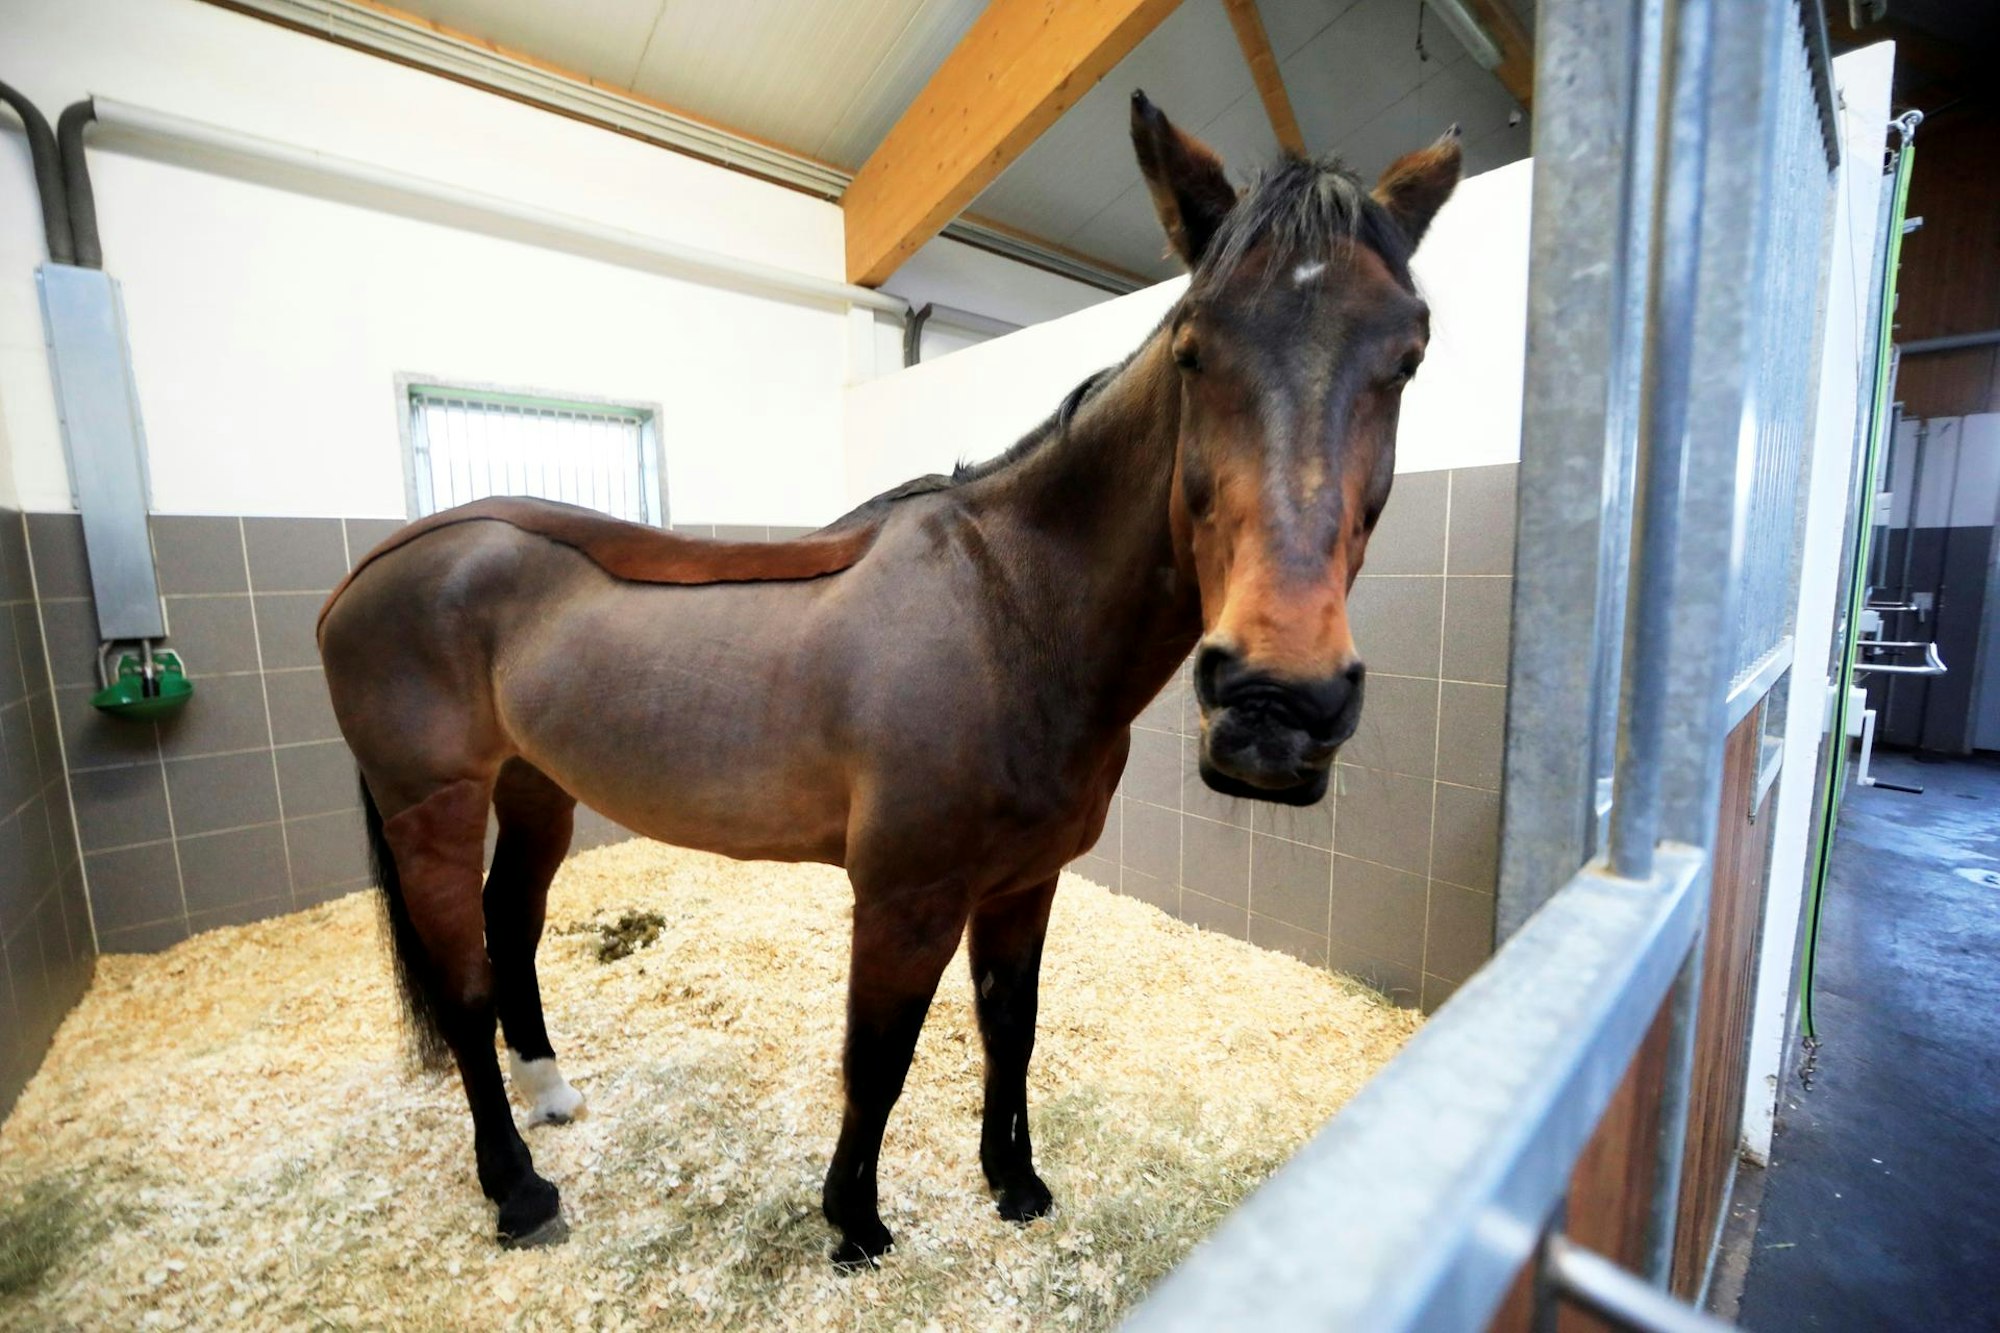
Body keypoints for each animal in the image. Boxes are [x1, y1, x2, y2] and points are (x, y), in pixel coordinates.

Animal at [317, 92, 1459, 1264]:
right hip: (432, 804)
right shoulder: (906, 895)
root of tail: (382, 563)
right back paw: (517, 1187)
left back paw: (549, 1093)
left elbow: (1010, 1029)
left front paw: (1014, 1181)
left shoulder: (1024, 882)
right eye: (1193, 346)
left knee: (511, 928)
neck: (1010, 608)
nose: (1277, 706)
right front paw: (856, 1220)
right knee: (462, 984)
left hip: (535, 786)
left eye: (1408, 355)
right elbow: (880, 1055)